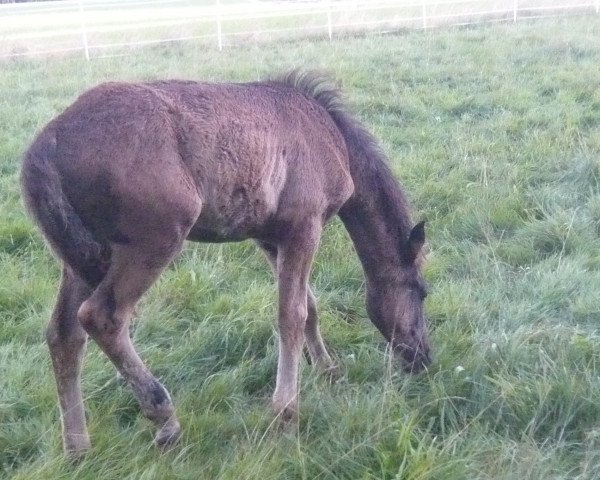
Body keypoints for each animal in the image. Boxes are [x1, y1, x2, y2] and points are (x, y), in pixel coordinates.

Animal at [19, 70, 432, 458]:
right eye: (422, 292)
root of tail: (46, 144)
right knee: (102, 317)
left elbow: (309, 307)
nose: (423, 359)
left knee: (64, 334)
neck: (333, 139)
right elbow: (292, 314)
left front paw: (327, 368)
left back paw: (77, 448)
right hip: (153, 241)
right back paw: (165, 420)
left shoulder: (271, 237)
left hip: (84, 257)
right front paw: (285, 411)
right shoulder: (305, 225)